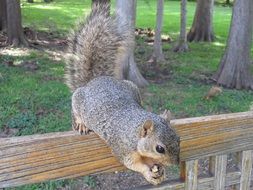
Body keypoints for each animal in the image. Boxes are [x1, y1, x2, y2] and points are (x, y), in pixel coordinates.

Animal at [65, 4, 180, 186]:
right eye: (159, 148)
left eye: (178, 139)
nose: (176, 163)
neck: (134, 129)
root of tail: (95, 81)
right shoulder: (123, 147)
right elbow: (132, 163)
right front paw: (148, 172)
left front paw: (160, 171)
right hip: (77, 99)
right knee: (75, 113)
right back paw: (81, 124)